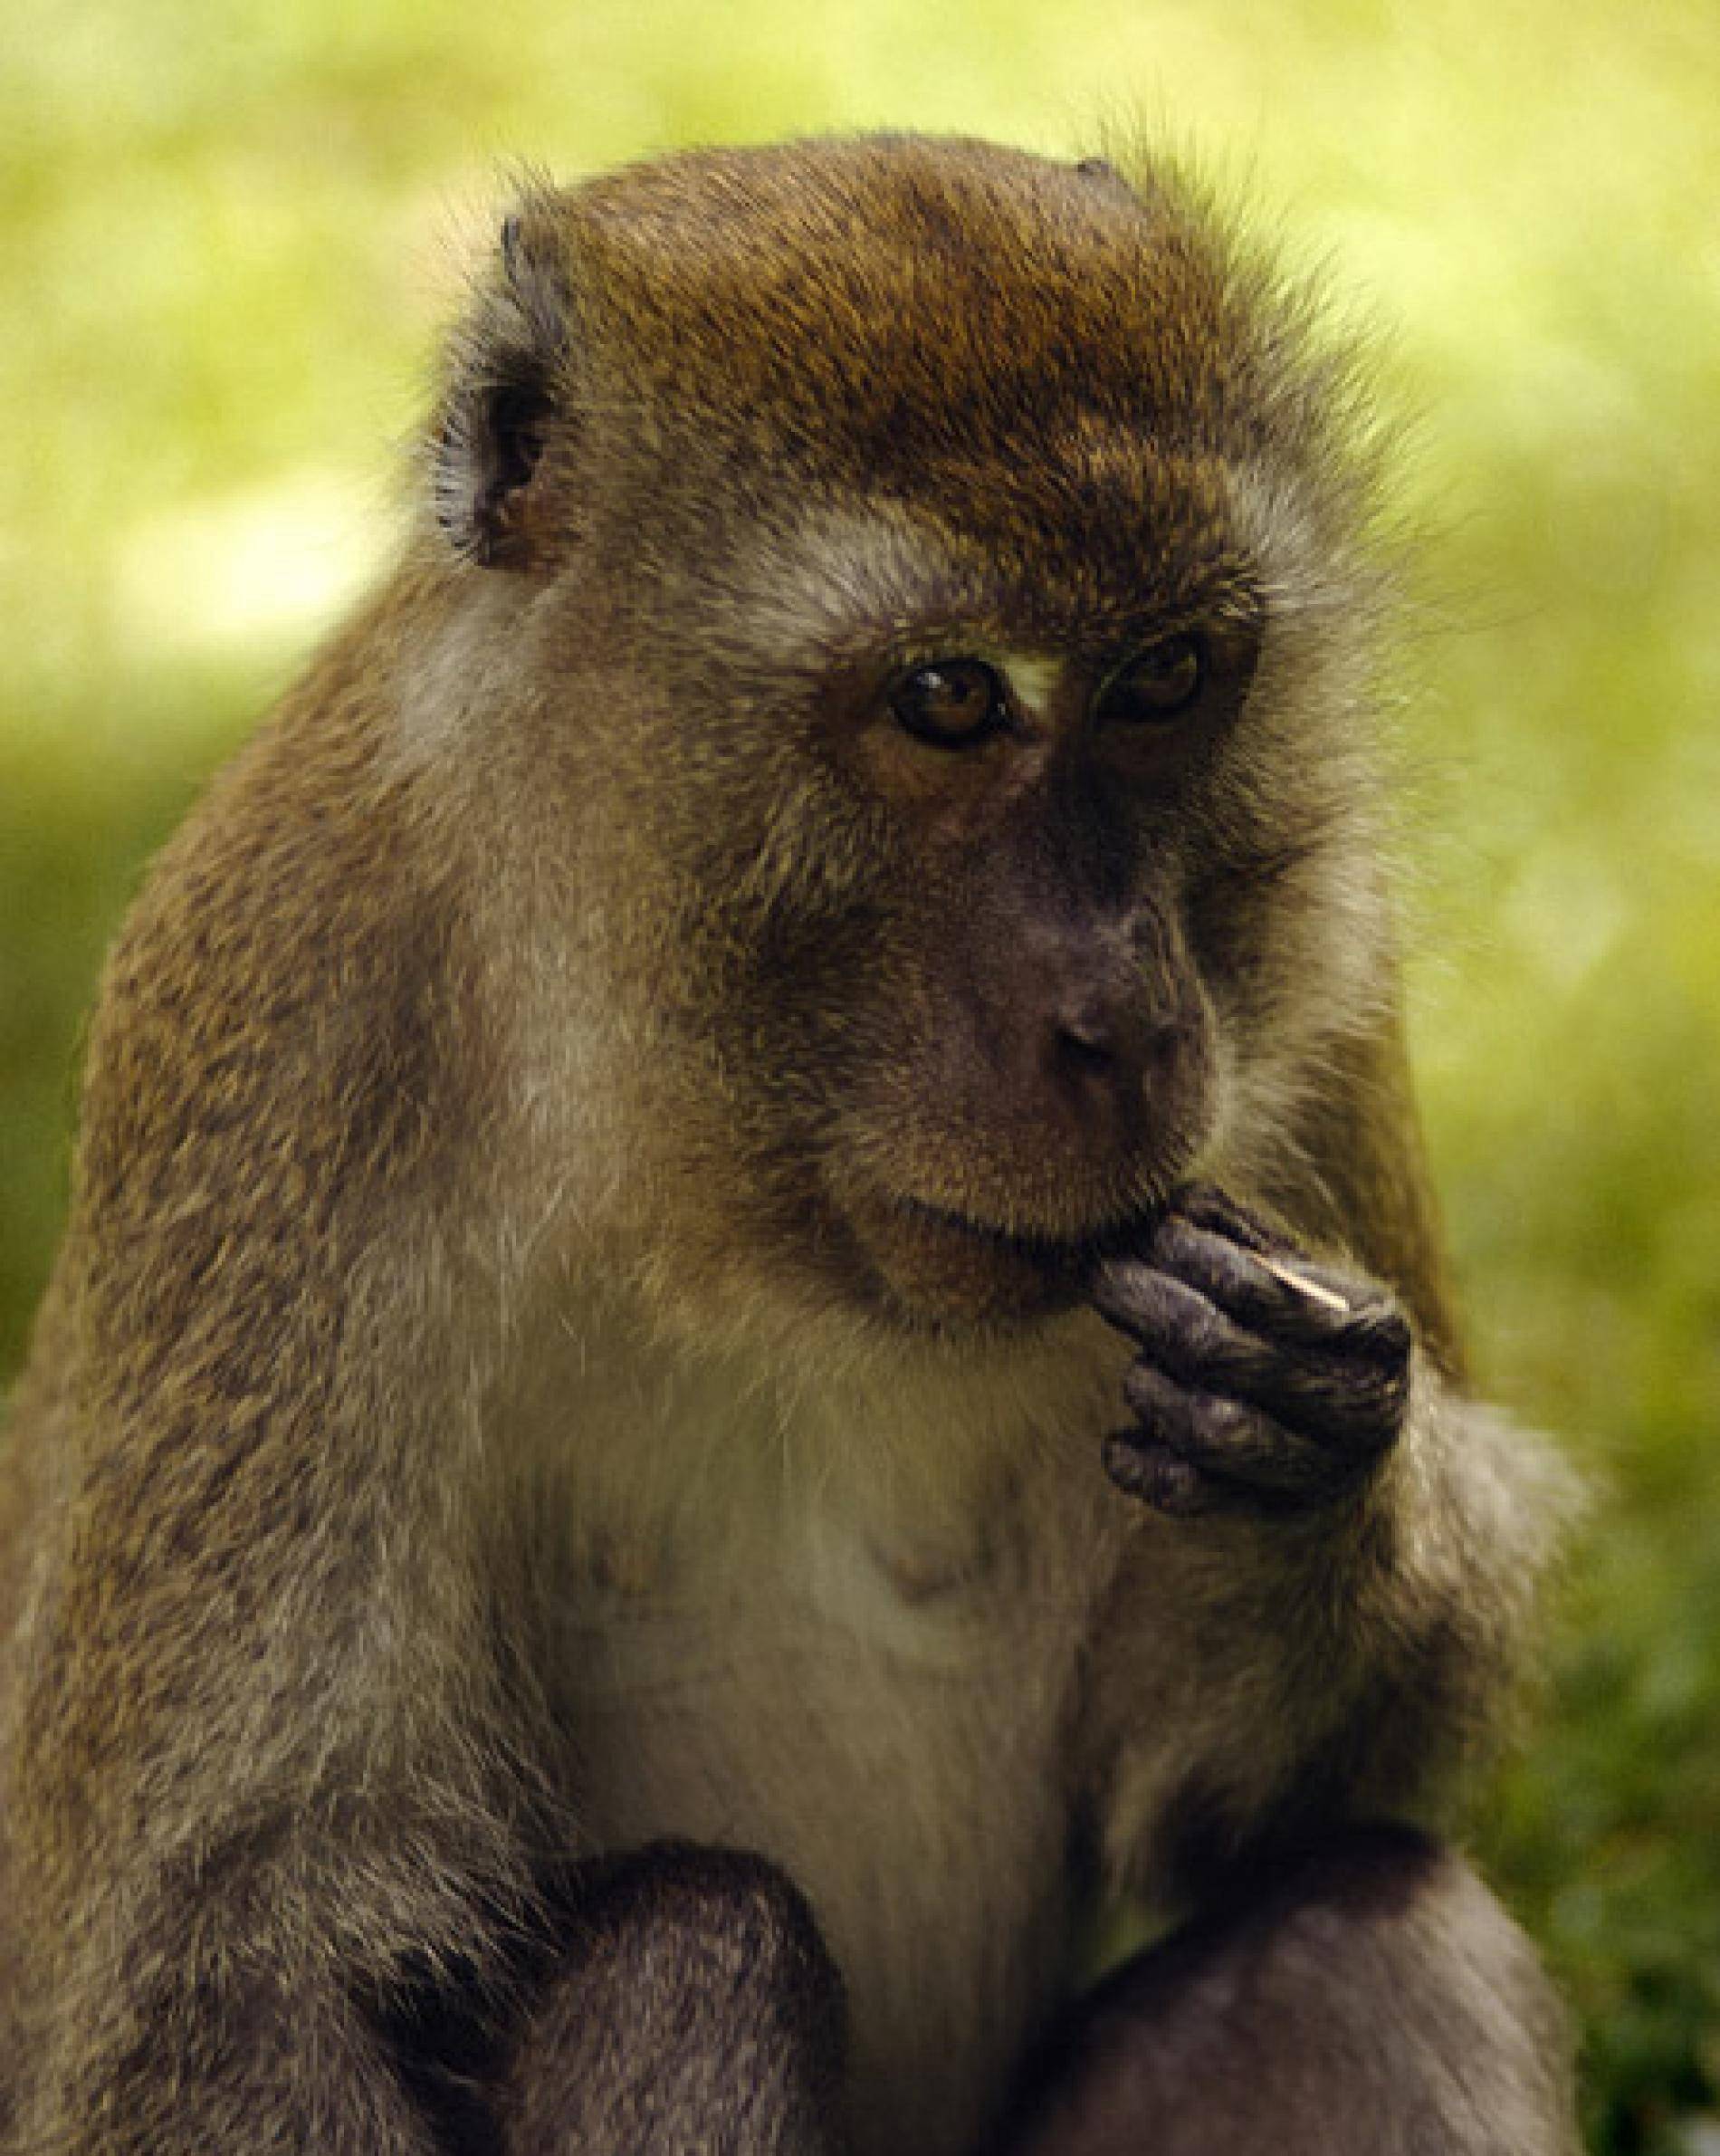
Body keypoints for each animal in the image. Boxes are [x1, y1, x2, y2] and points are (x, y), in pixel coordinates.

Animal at [0, 134, 1586, 2156]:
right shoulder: (281, 1023)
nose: (1130, 1019)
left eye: (1165, 676)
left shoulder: (1320, 988)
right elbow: (231, 1978)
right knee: (700, 1943)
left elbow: (1247, 1814)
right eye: (948, 696)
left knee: (1360, 1933)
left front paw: (1298, 1434)